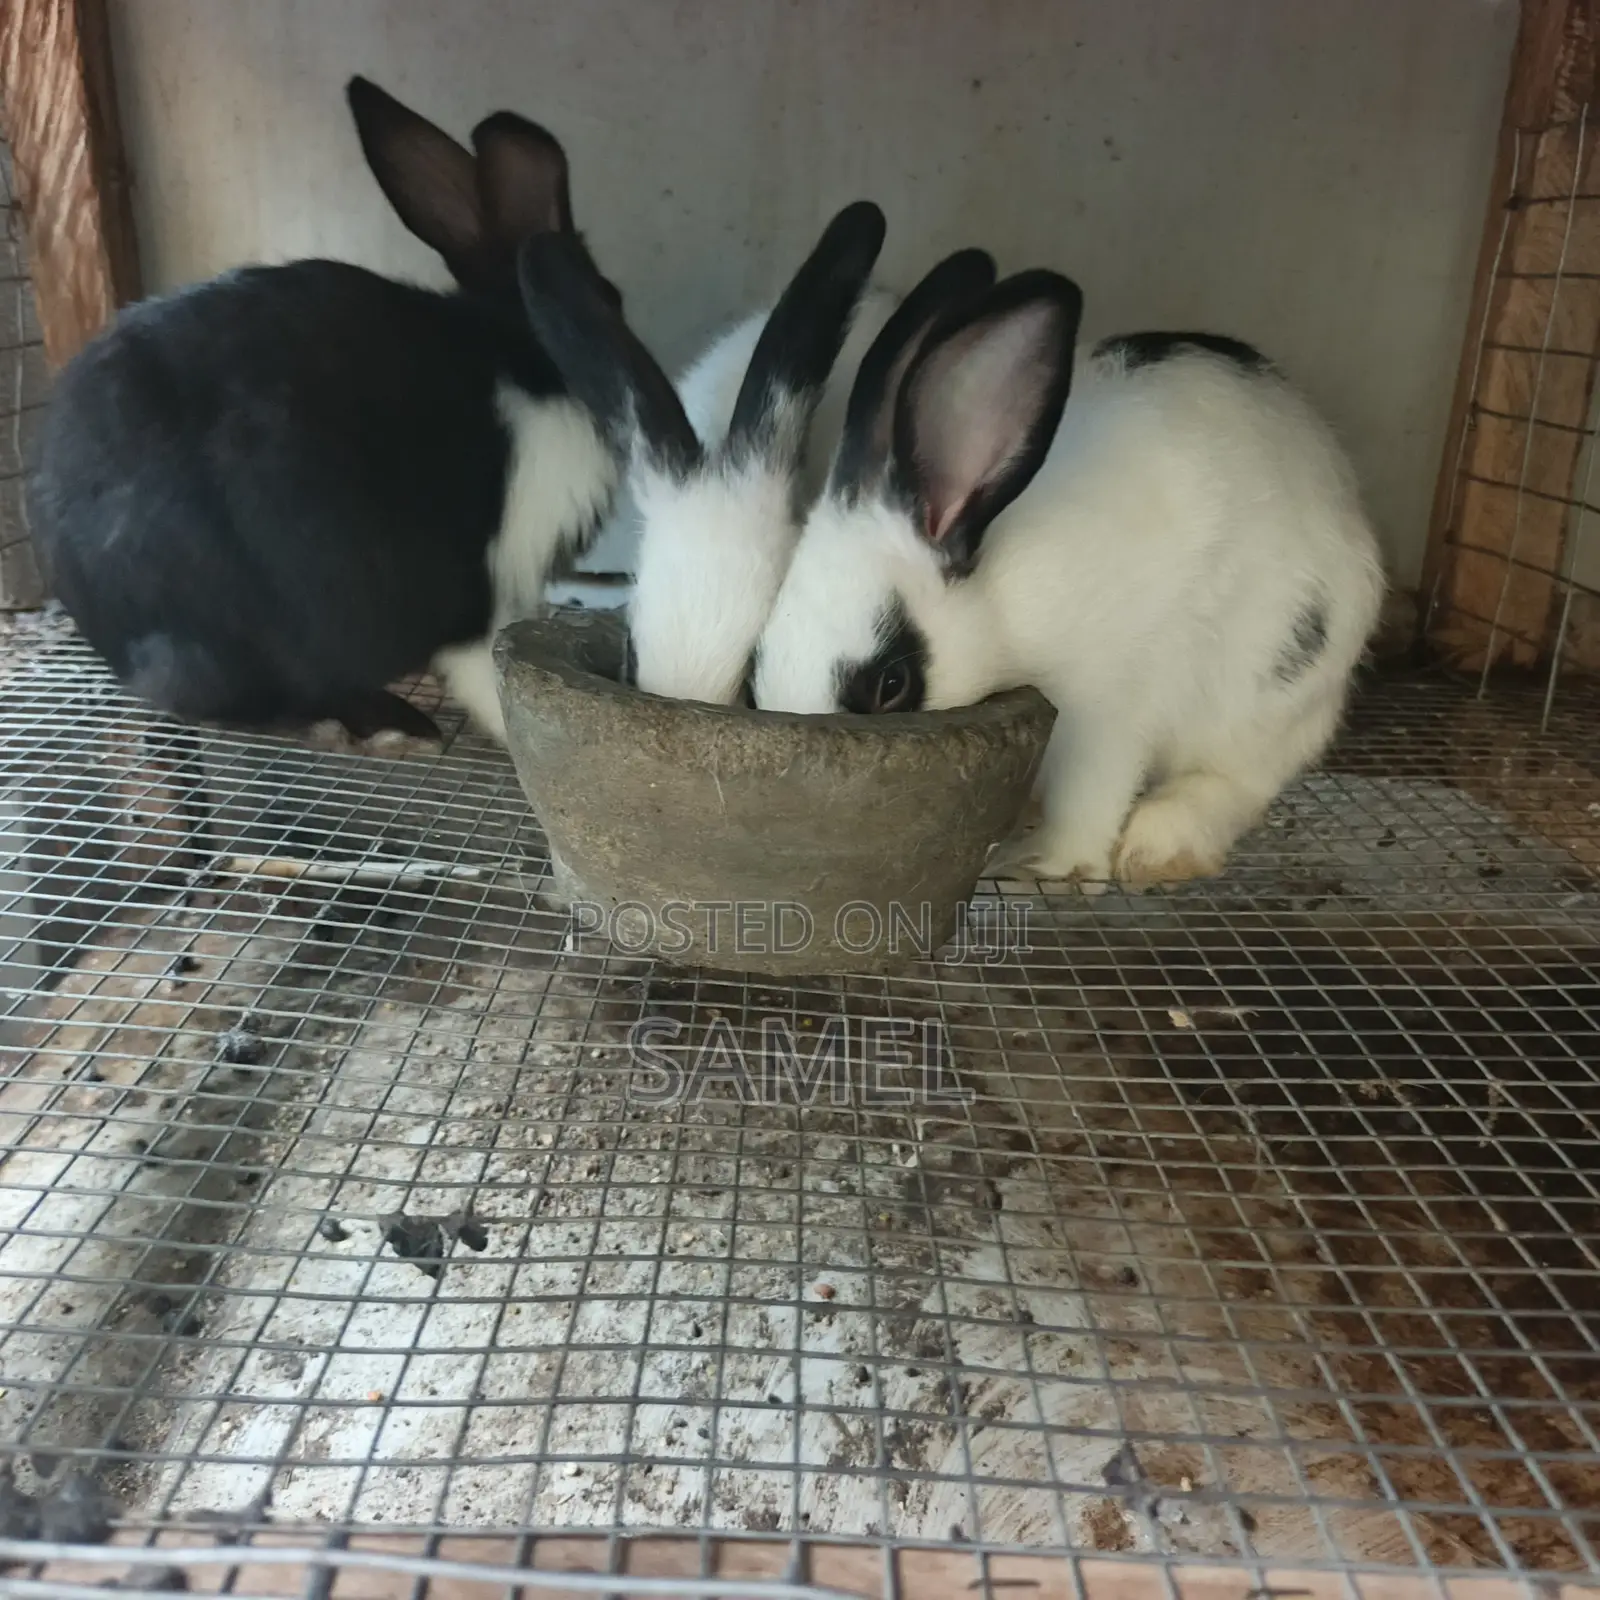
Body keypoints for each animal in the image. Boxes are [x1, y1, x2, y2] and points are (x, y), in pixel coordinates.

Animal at [753, 264, 1386, 888]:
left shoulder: (1107, 704)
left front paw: (1042, 863)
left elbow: (1090, 799)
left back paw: (1157, 848)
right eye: (758, 662)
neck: (1000, 596)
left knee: (1236, 781)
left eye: (891, 684)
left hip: (1269, 687)